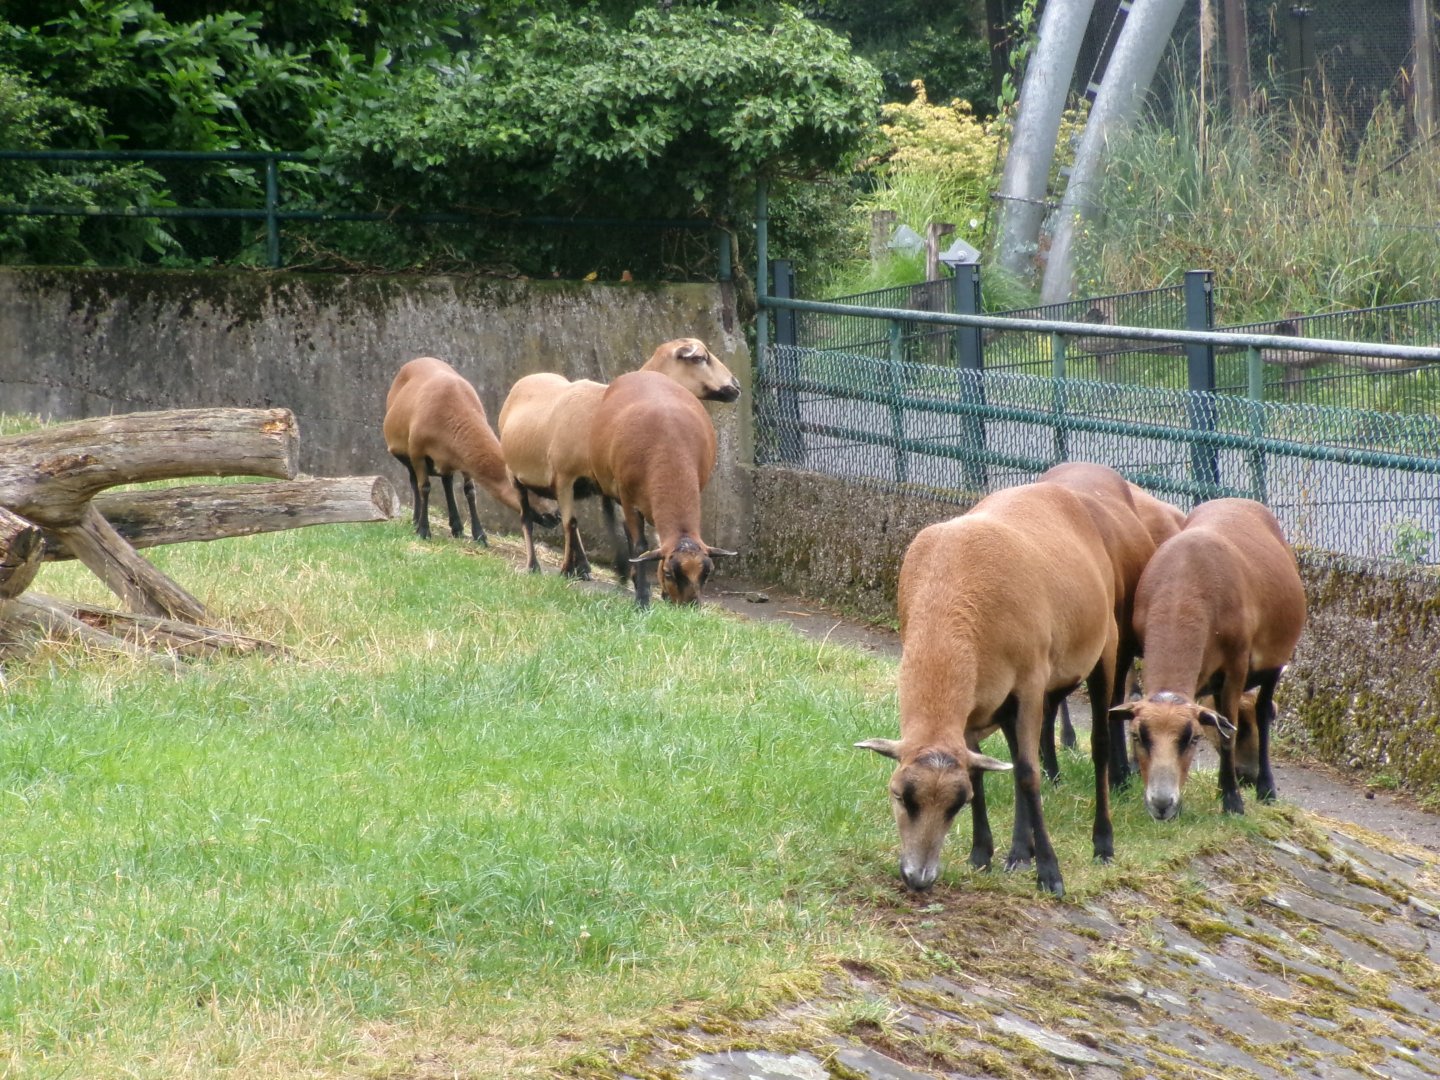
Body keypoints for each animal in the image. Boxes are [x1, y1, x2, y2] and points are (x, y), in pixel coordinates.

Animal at [383, 356, 557, 543]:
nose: (557, 516)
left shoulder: (463, 458)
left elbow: (470, 491)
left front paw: (479, 534)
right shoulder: (418, 453)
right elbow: (425, 488)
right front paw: (423, 531)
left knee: (447, 482)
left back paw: (457, 527)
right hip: (407, 454)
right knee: (415, 482)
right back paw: (417, 520)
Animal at [498, 338, 740, 577]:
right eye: (699, 358)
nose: (736, 386)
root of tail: (530, 377)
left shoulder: (608, 486)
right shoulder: (565, 476)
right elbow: (570, 523)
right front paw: (567, 569)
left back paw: (583, 567)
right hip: (515, 476)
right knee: (529, 519)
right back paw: (534, 565)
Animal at [586, 370, 737, 606]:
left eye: (707, 573)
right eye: (668, 573)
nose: (689, 607)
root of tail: (643, 372)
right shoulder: (628, 498)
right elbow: (640, 546)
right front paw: (642, 600)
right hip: (604, 479)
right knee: (610, 514)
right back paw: (622, 572)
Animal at [856, 481, 1119, 896]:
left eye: (954, 806)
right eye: (900, 795)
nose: (919, 879)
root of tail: (1055, 487)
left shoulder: (1030, 682)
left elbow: (1028, 775)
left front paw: (1050, 873)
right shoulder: (974, 706)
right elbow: (983, 772)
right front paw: (982, 855)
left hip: (1104, 646)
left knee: (1099, 747)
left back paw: (1102, 844)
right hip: (1006, 701)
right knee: (1015, 755)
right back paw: (1019, 852)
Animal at [1107, 497, 1306, 820]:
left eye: (1192, 739)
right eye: (1138, 737)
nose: (1161, 805)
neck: (1183, 592)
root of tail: (1237, 500)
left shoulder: (1236, 667)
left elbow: (1228, 735)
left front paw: (1233, 803)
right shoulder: (1132, 646)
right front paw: (1120, 781)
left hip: (1274, 662)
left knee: (1262, 710)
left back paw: (1265, 789)